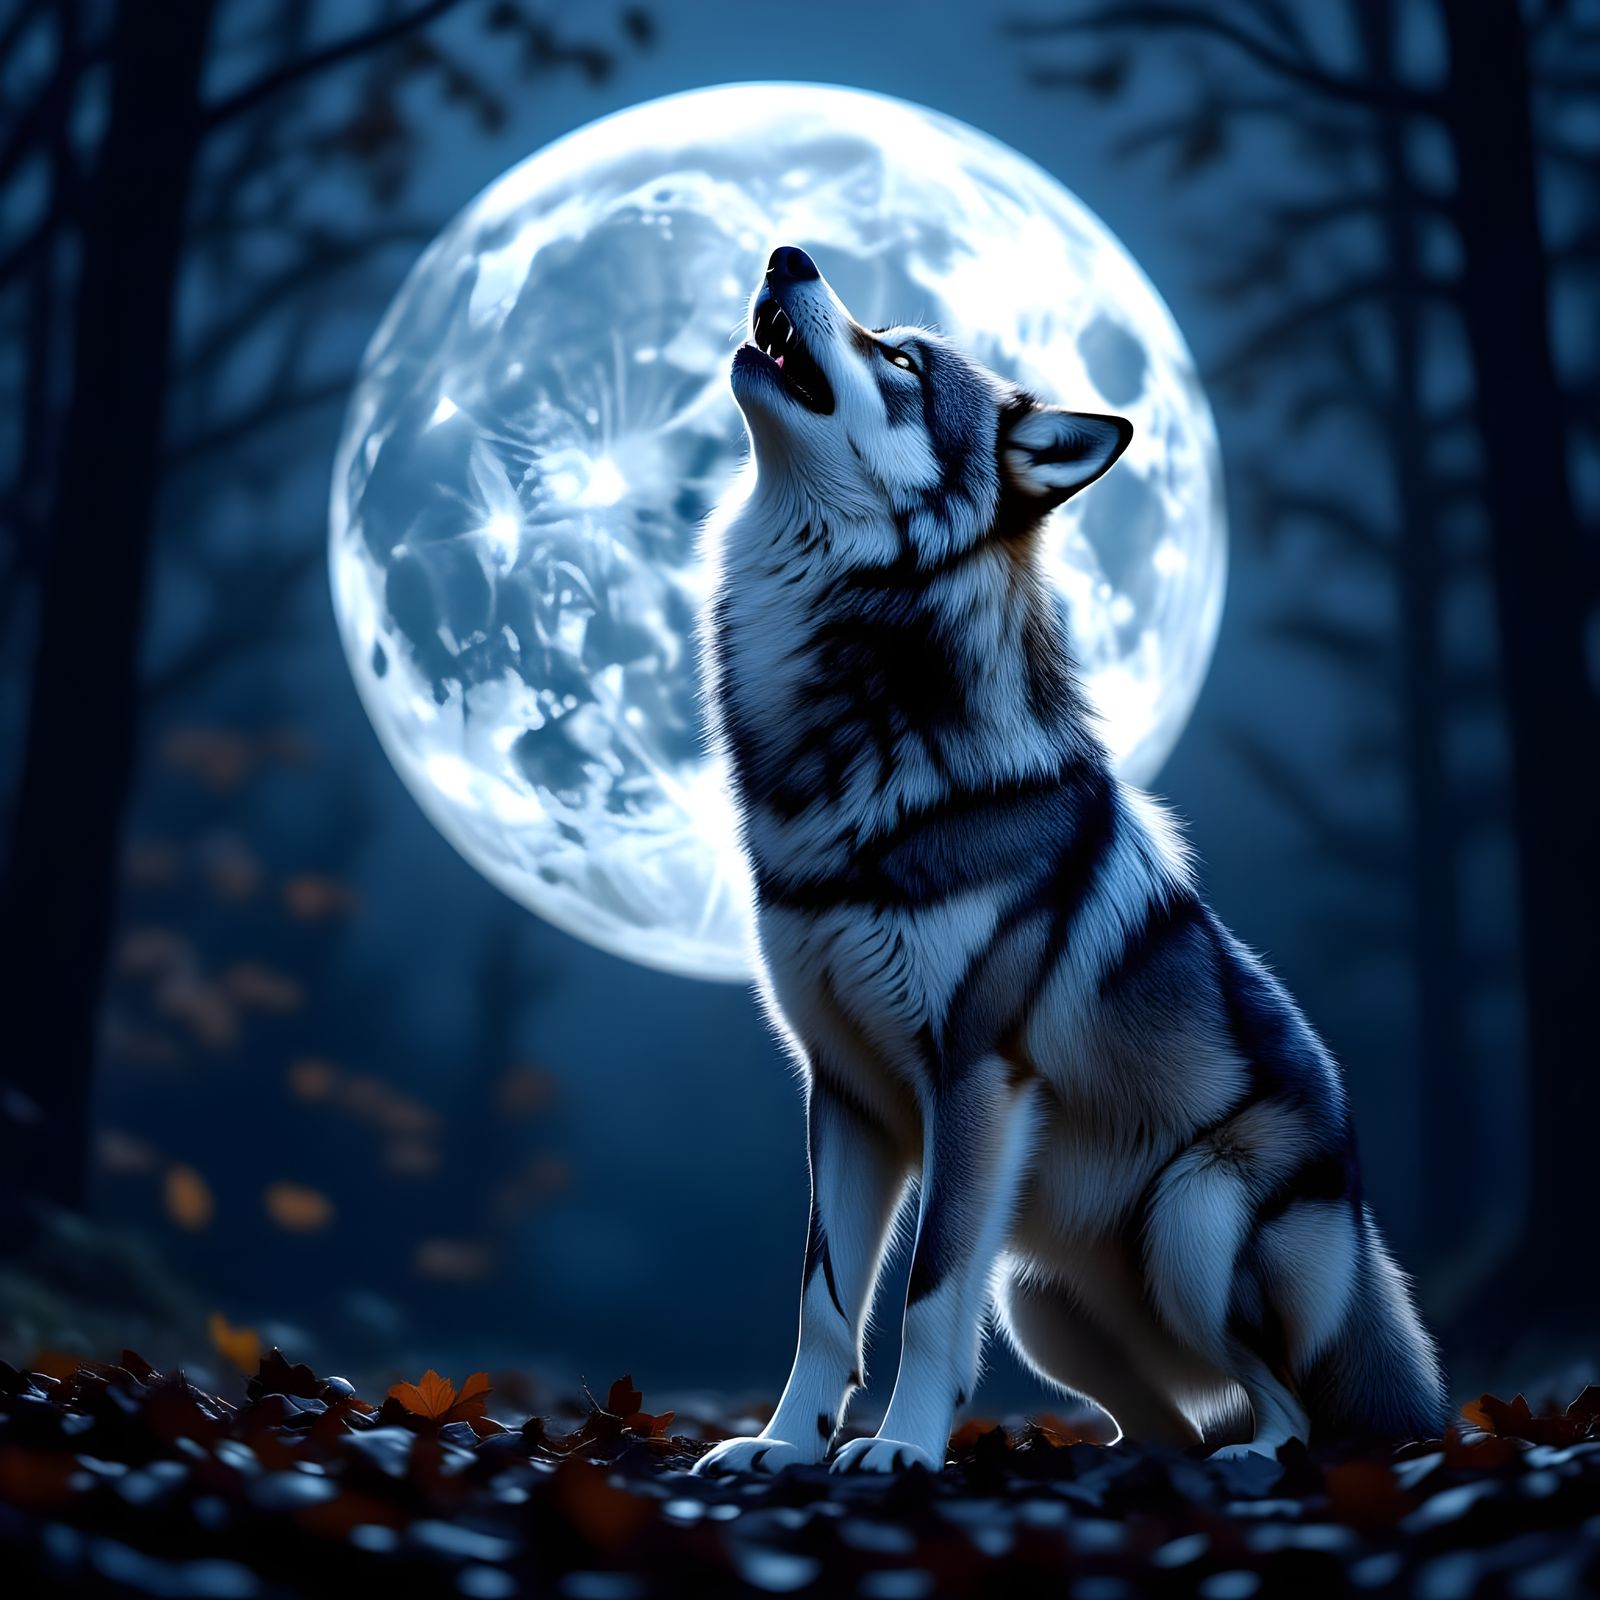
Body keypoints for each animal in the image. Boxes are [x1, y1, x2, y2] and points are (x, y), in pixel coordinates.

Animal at [692, 246, 1445, 1475]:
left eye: (901, 360)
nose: (786, 253)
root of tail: (1363, 1210)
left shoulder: (973, 1078)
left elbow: (923, 1297)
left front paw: (898, 1450)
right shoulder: (843, 1094)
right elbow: (824, 1302)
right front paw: (787, 1445)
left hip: (1189, 1224)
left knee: (1283, 1401)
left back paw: (1252, 1462)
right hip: (1036, 1298)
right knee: (1168, 1419)